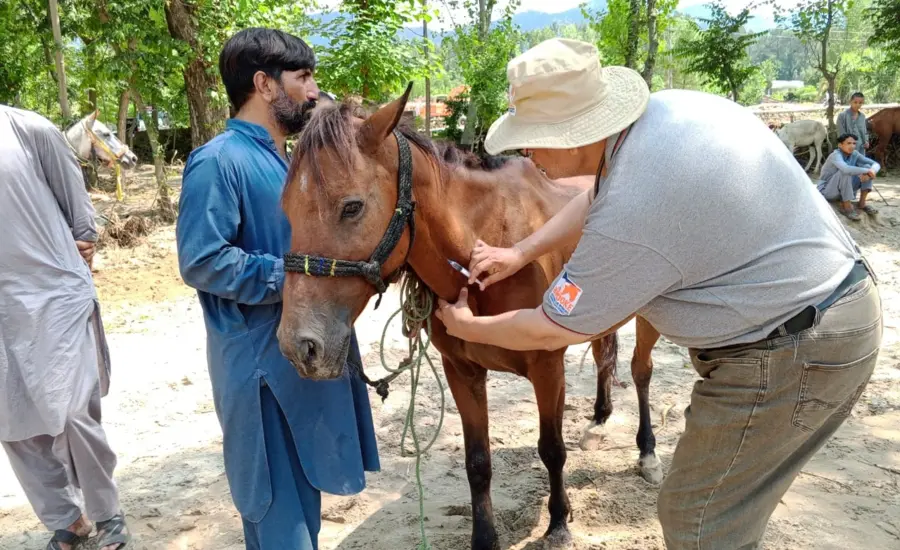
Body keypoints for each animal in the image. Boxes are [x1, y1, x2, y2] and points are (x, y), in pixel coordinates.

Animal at [277, 86, 662, 549]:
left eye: (351, 207)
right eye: (285, 209)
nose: (300, 347)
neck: (485, 246)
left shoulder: (547, 367)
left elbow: (552, 449)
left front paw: (559, 522)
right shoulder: (462, 371)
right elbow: (478, 464)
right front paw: (484, 537)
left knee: (640, 372)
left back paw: (647, 452)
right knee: (606, 355)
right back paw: (599, 421)